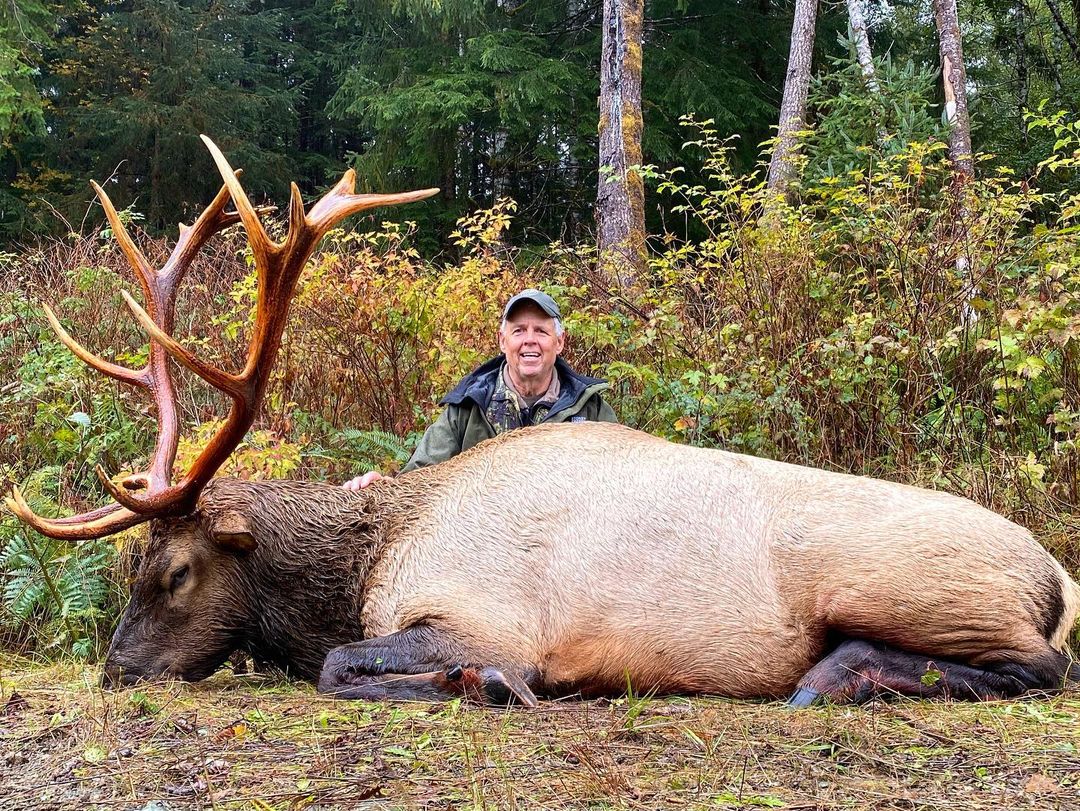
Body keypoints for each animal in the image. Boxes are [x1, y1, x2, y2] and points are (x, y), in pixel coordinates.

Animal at [4, 141, 1075, 708]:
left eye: (176, 570)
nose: (115, 671)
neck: (364, 562)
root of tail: (1055, 576)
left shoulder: (484, 614)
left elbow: (350, 667)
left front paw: (479, 684)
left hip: (898, 579)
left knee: (1041, 662)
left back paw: (840, 674)